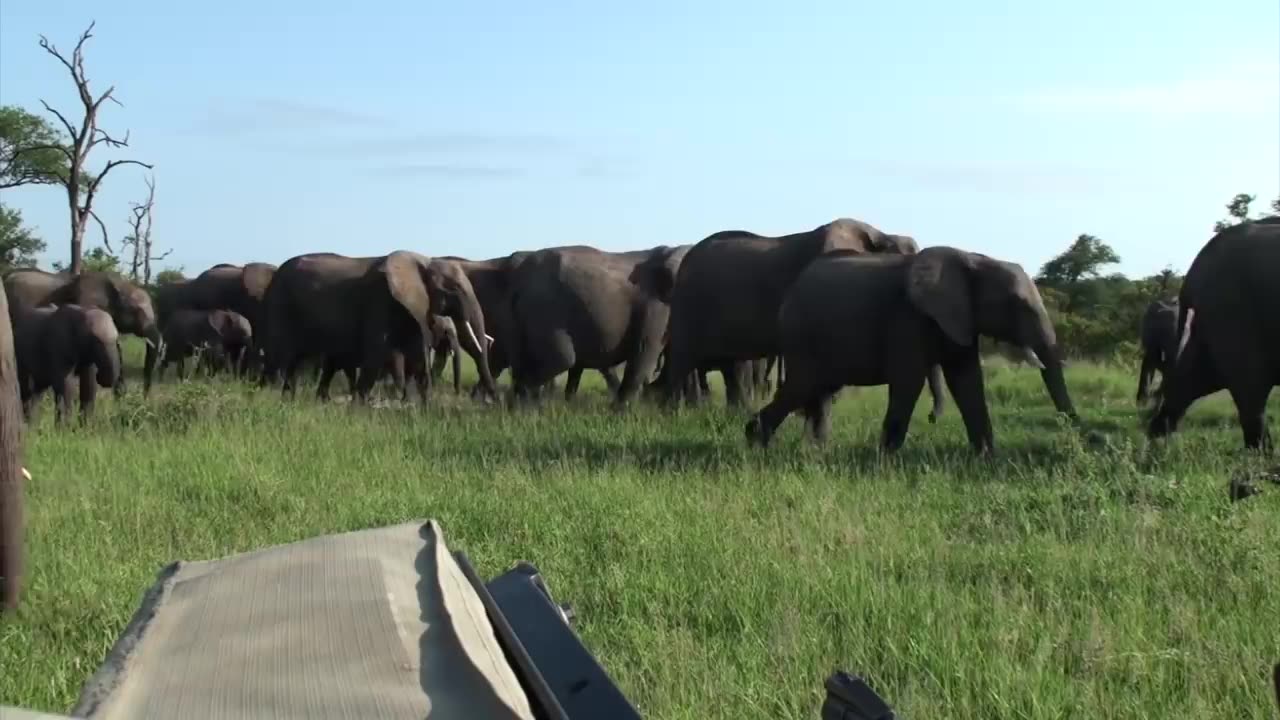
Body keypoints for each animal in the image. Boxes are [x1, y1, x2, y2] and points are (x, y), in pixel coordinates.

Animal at [260, 251, 496, 403]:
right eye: (454, 288)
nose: (496, 402)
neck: (423, 261)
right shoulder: (381, 300)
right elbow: (377, 353)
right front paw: (359, 409)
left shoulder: (411, 309)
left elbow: (418, 359)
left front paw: (425, 408)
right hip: (279, 305)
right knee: (279, 358)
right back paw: (266, 400)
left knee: (299, 362)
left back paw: (294, 400)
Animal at [503, 244, 689, 406]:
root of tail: (519, 277)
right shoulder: (656, 307)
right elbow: (645, 351)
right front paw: (621, 414)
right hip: (544, 308)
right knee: (561, 359)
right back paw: (528, 412)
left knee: (524, 364)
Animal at [745, 246, 1077, 453]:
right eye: (1017, 304)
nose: (1077, 436)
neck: (973, 258)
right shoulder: (908, 318)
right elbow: (909, 381)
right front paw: (885, 460)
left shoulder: (958, 319)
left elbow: (967, 380)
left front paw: (984, 457)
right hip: (802, 335)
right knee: (802, 385)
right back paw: (756, 442)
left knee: (818, 390)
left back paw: (803, 448)